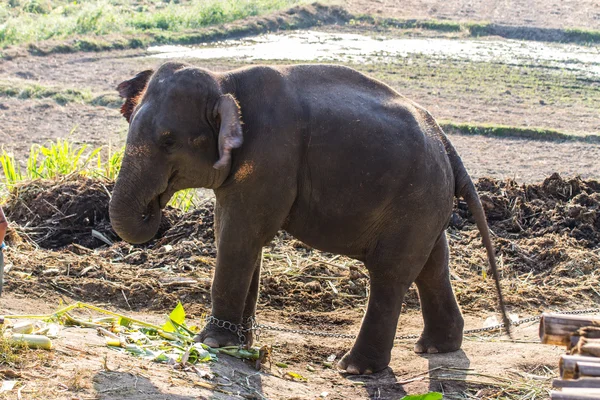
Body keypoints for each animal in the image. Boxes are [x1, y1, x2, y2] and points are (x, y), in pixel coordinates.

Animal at [110, 61, 508, 376]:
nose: (156, 208)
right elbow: (241, 236)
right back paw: (436, 347)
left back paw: (355, 368)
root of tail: (444, 140)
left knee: (390, 274)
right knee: (432, 264)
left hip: (415, 197)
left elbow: (241, 236)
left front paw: (210, 343)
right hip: (427, 201)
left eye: (168, 141)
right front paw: (241, 344)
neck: (225, 80)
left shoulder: (271, 157)